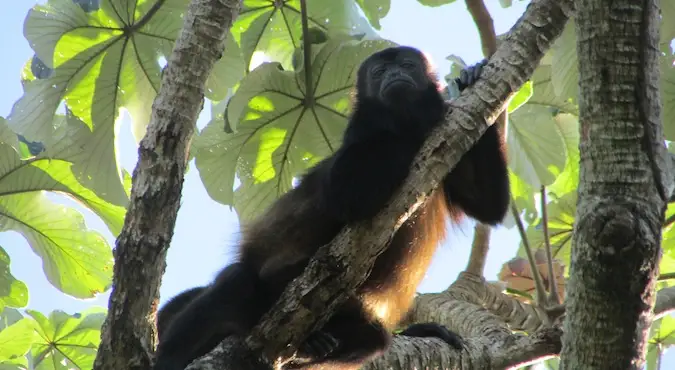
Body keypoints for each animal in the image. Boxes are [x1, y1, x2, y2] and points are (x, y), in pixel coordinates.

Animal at [153, 46, 510, 370]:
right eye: (379, 71)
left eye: (408, 64)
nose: (396, 74)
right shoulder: (362, 130)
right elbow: (343, 191)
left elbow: (489, 205)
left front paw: (470, 78)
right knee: (236, 282)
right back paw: (169, 356)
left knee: (372, 339)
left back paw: (315, 344)